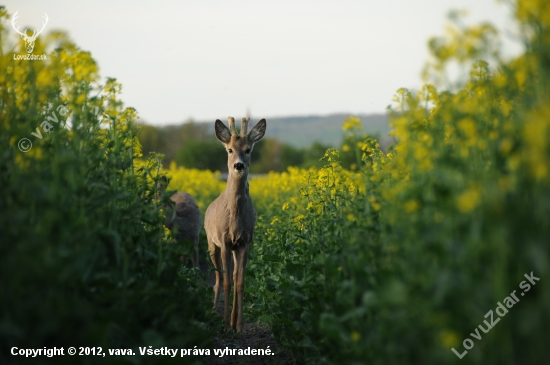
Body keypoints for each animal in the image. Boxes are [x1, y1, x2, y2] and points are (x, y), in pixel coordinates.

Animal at [206, 115, 268, 332]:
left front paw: (239, 326)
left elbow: (240, 282)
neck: (235, 217)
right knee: (218, 279)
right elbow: (226, 283)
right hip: (211, 243)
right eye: (230, 150)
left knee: (231, 276)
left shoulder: (245, 242)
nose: (238, 165)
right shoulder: (224, 241)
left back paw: (232, 321)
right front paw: (225, 325)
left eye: (248, 149)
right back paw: (214, 313)